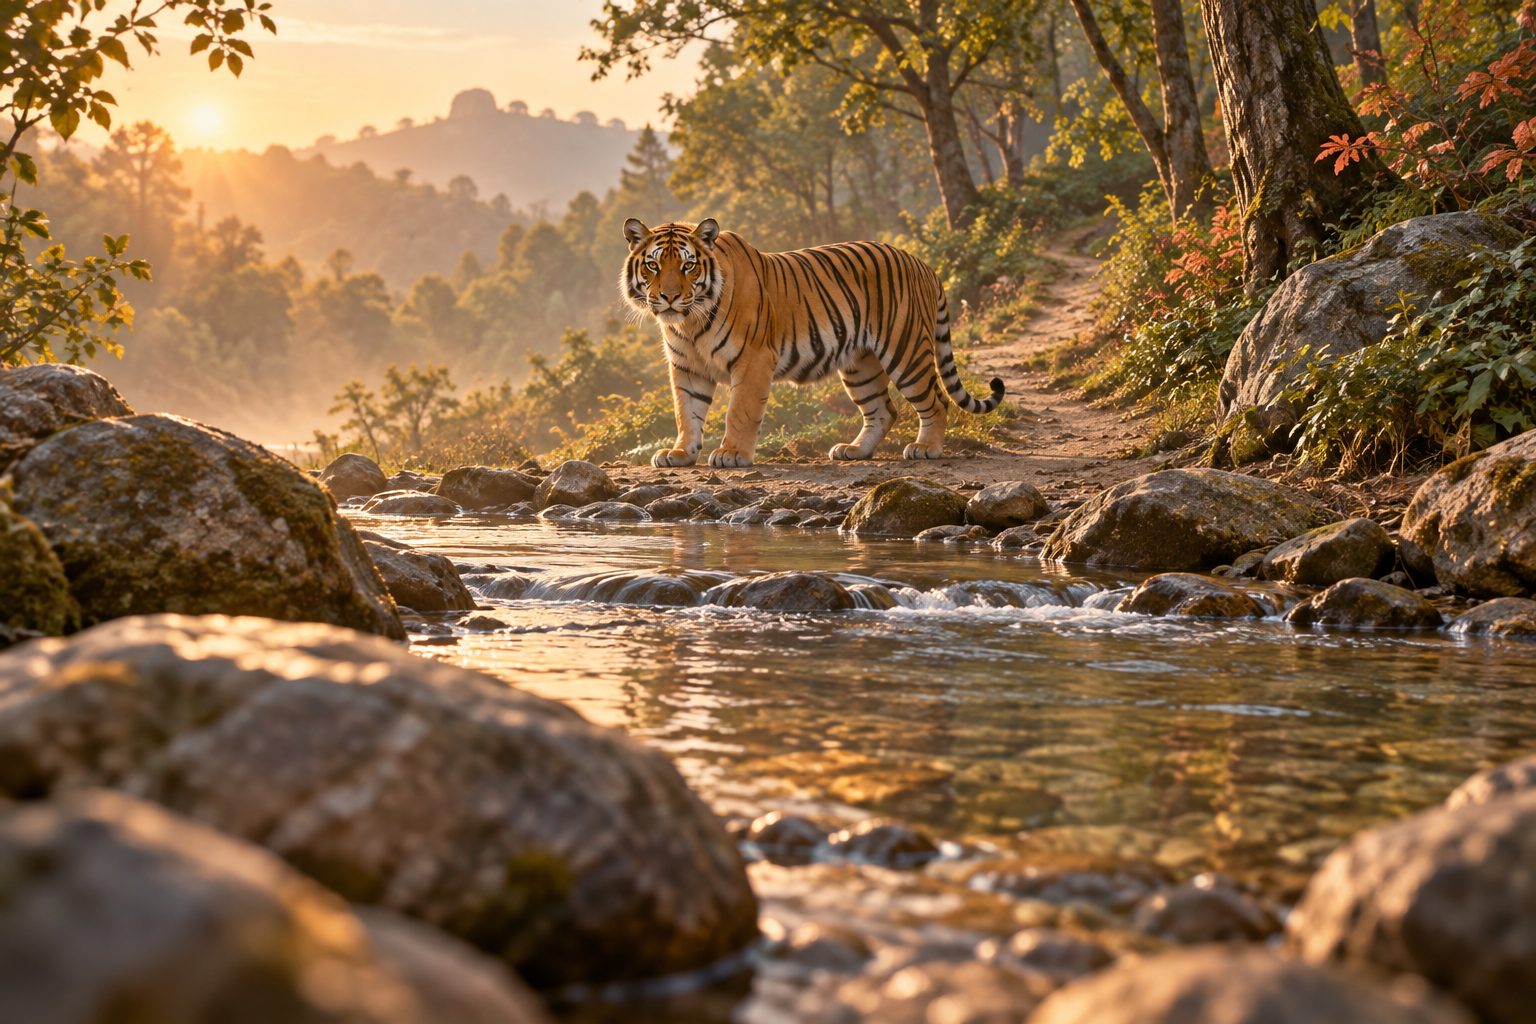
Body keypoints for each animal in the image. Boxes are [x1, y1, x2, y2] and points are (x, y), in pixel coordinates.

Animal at [620, 217, 1005, 468]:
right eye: (653, 265)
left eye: (688, 267)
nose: (670, 297)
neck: (689, 323)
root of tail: (923, 264)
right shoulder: (687, 368)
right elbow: (686, 413)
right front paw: (681, 454)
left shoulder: (753, 360)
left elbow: (739, 412)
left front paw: (732, 454)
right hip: (860, 364)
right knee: (884, 410)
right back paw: (854, 451)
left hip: (906, 350)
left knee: (936, 401)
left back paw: (926, 448)